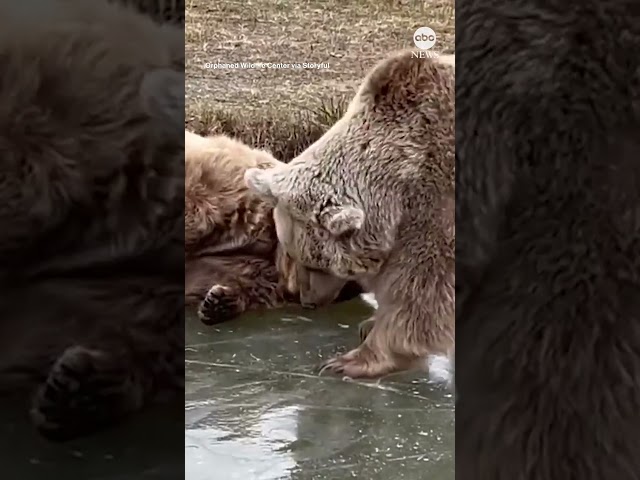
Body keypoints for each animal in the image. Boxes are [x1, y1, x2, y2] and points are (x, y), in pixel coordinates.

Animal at [244, 49, 456, 378]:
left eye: (318, 264)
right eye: (293, 255)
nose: (308, 301)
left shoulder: (438, 201)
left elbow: (425, 287)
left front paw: (352, 359)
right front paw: (368, 325)